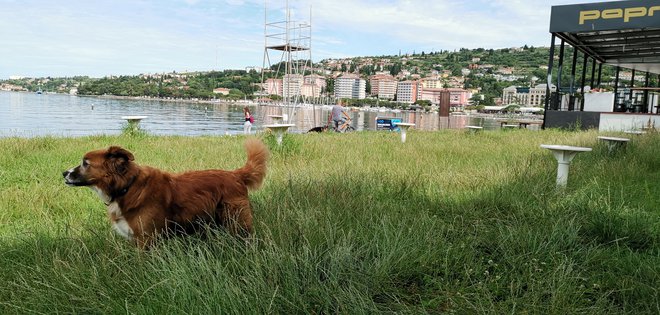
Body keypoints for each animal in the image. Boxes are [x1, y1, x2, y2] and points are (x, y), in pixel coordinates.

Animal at [62, 139, 268, 248]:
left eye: (85, 163)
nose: (63, 173)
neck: (128, 186)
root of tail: (236, 174)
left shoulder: (147, 239)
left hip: (236, 222)